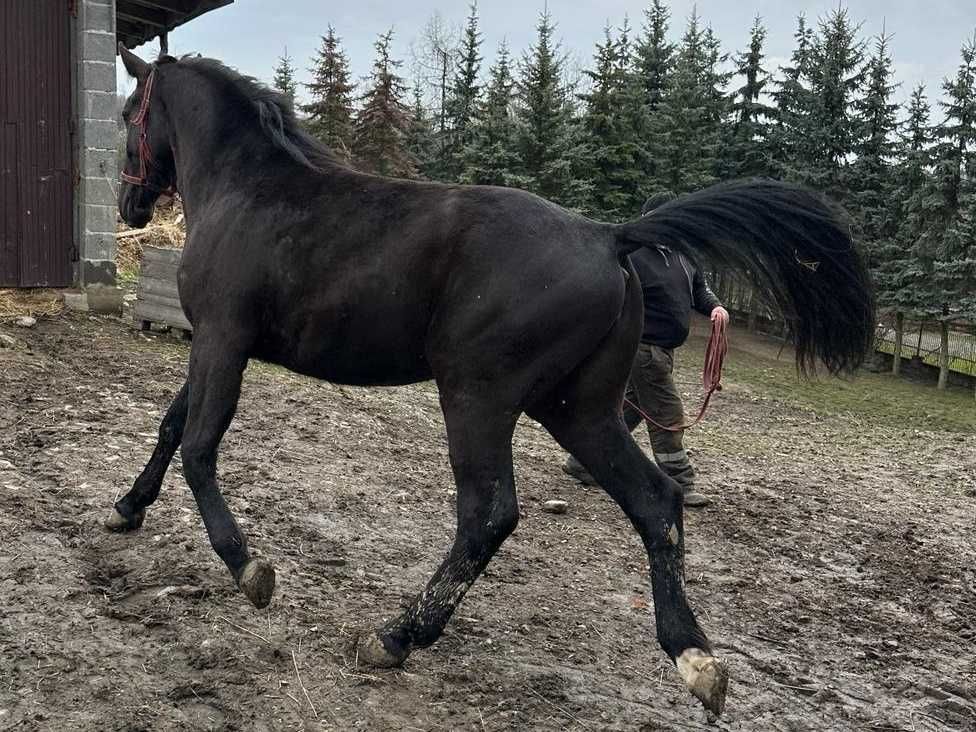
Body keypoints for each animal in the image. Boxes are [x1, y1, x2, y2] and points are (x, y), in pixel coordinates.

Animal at [110, 44, 872, 716]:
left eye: (126, 116)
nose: (129, 207)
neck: (249, 191)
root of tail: (610, 237)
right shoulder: (215, 344)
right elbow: (173, 427)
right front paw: (127, 508)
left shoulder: (223, 341)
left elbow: (199, 448)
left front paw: (249, 570)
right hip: (578, 409)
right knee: (655, 502)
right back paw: (696, 660)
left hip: (478, 399)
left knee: (489, 513)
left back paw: (396, 636)